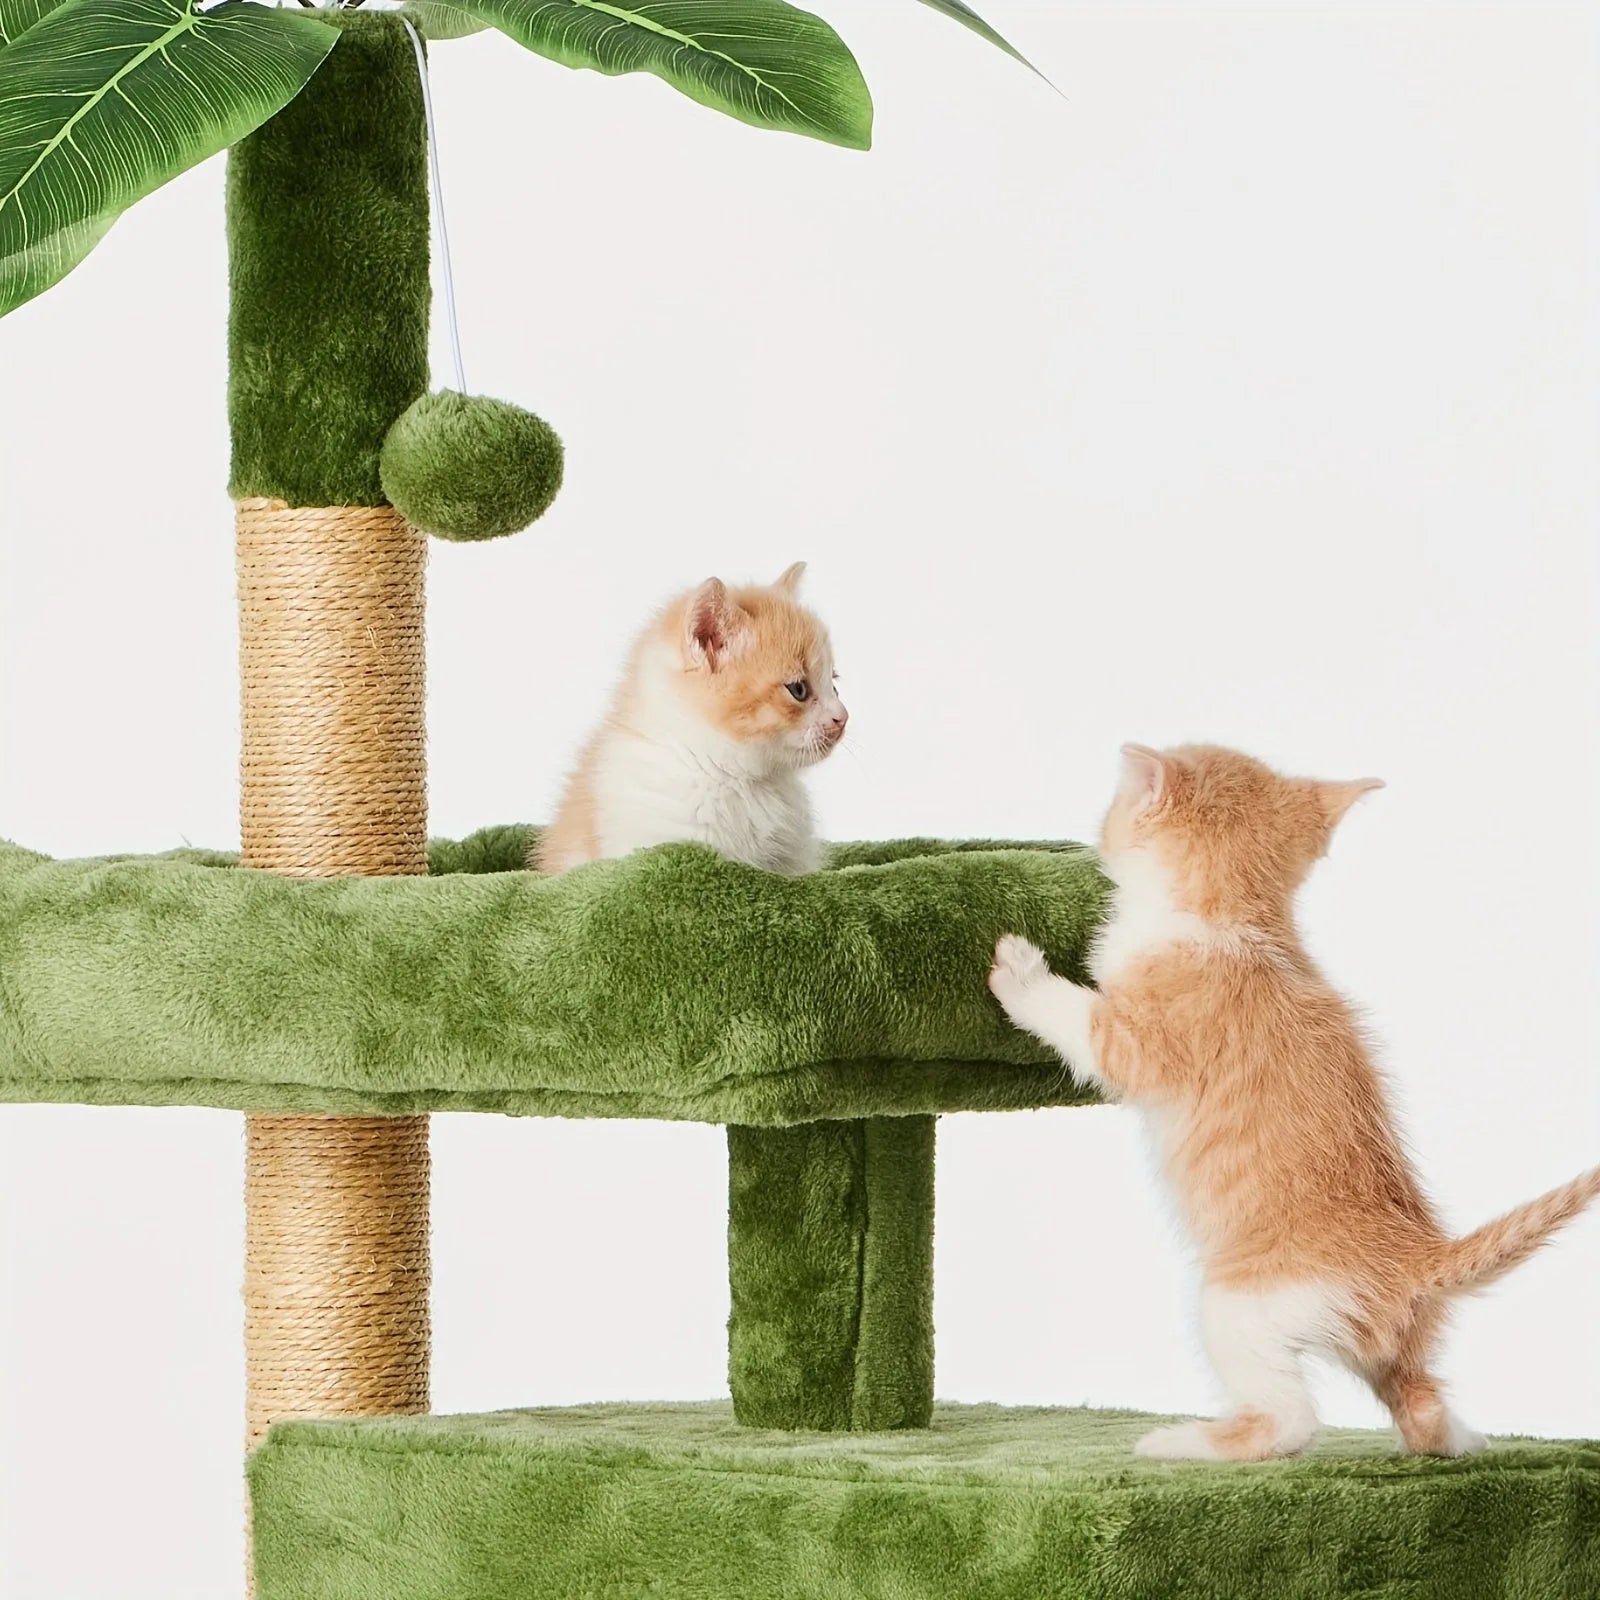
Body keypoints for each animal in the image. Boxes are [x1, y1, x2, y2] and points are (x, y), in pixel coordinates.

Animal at [985, 745, 1600, 1465]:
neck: (1234, 921)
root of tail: (1417, 1258)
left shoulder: (1135, 1039)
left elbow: (1078, 1017)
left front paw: (1021, 973)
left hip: (1236, 1300)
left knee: (1290, 1421)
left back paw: (1185, 1441)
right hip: (1390, 1343)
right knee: (1420, 1405)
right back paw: (1461, 1439)